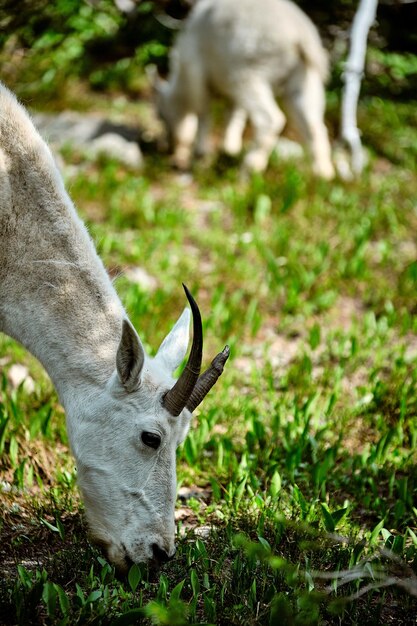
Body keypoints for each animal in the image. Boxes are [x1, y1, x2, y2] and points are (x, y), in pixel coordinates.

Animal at [153, 0, 334, 178]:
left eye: (160, 115)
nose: (168, 148)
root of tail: (301, 36)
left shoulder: (197, 74)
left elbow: (204, 115)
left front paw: (199, 158)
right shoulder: (233, 94)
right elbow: (233, 116)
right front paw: (228, 151)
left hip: (250, 72)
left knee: (270, 120)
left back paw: (249, 170)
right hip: (305, 80)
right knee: (314, 126)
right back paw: (322, 174)